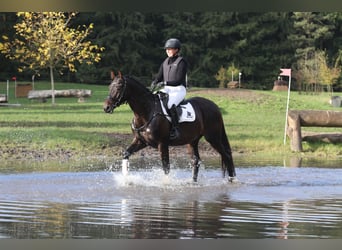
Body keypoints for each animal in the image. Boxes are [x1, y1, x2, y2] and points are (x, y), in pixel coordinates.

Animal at [102, 71, 235, 183]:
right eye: (109, 87)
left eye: (119, 87)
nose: (106, 107)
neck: (146, 112)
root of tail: (214, 106)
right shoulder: (141, 141)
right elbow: (126, 154)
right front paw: (126, 180)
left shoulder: (162, 144)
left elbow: (166, 167)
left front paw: (166, 184)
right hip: (192, 141)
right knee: (196, 161)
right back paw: (193, 182)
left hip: (213, 138)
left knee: (226, 155)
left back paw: (232, 179)